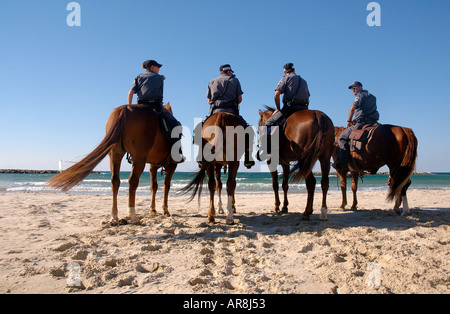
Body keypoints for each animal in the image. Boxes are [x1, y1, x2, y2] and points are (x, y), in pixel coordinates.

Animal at [49, 103, 181, 223]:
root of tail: (125, 108)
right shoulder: (171, 165)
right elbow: (166, 186)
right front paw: (165, 210)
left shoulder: (153, 166)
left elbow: (154, 186)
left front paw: (153, 210)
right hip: (138, 158)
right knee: (132, 180)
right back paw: (132, 215)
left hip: (115, 154)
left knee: (115, 180)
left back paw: (114, 216)